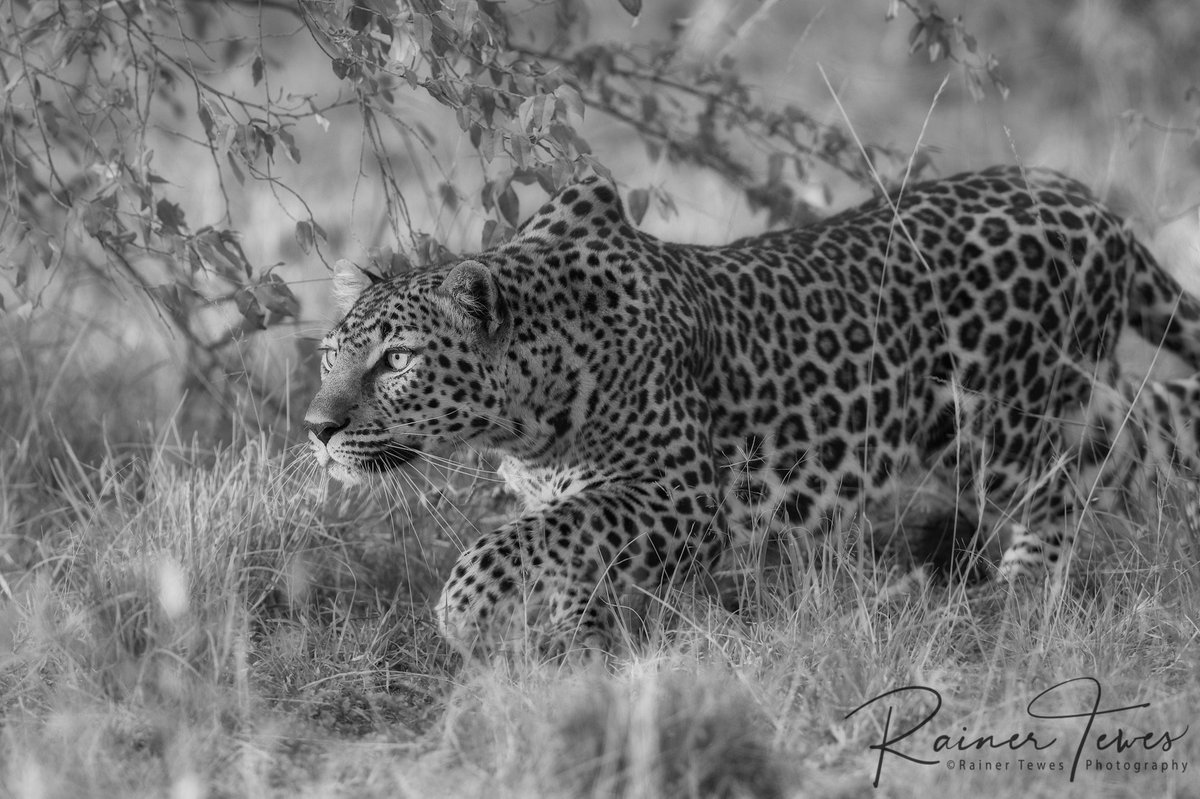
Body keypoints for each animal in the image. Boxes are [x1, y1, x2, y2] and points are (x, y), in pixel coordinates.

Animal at [304, 165, 1200, 657]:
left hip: (996, 421)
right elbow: (562, 549)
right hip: (1056, 408)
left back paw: (1016, 600)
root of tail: (1087, 201)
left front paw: (464, 618)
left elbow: (522, 540)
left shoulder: (679, 497)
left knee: (1059, 486)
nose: (318, 429)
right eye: (328, 354)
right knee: (1142, 433)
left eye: (397, 360)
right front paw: (576, 649)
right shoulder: (589, 498)